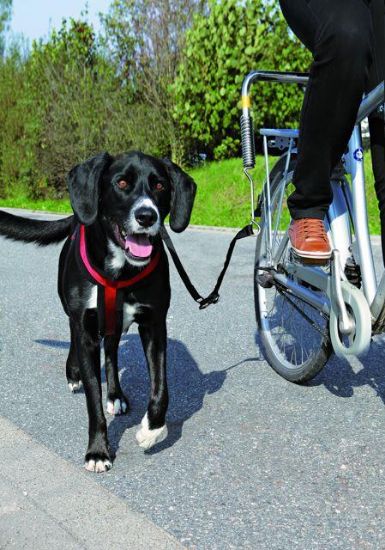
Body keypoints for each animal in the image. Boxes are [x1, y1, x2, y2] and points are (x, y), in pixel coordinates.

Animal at [0, 152, 196, 474]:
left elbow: (161, 388)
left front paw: (151, 430)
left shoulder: (154, 324)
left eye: (160, 185)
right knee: (74, 336)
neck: (120, 270)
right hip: (72, 309)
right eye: (122, 183)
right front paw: (98, 451)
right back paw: (74, 372)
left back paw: (116, 395)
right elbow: (93, 398)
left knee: (112, 352)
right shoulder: (86, 329)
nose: (147, 216)